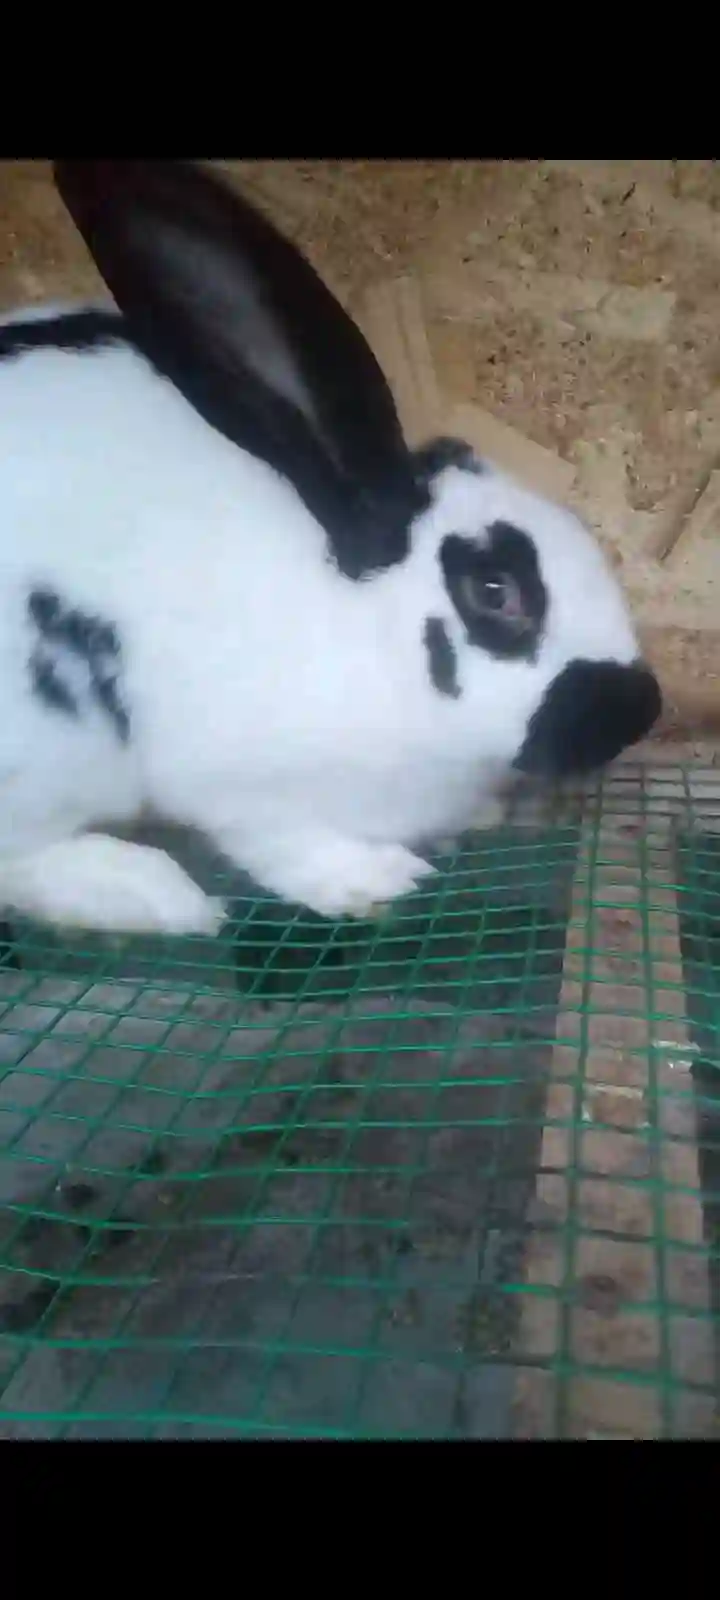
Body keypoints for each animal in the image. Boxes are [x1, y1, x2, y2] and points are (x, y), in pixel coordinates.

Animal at [0, 159, 662, 934]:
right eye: (495, 592)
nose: (641, 710)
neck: (364, 626)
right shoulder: (238, 782)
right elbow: (281, 842)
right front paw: (375, 880)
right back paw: (159, 897)